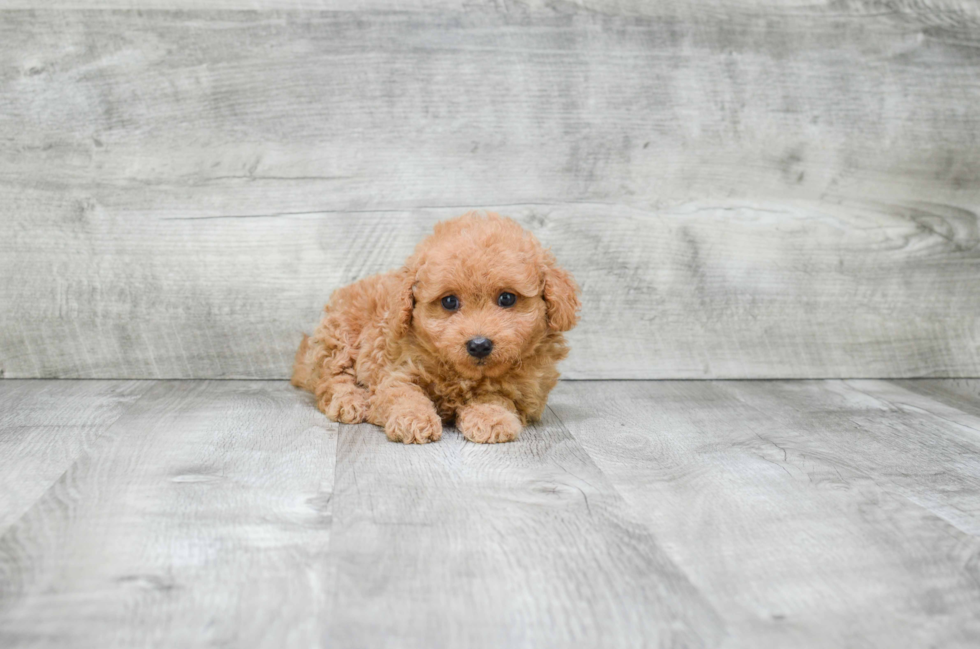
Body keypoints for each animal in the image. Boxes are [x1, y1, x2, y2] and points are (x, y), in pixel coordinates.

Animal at [294, 210, 580, 442]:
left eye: (507, 298)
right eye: (449, 301)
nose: (479, 345)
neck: (460, 373)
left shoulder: (523, 392)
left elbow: (496, 398)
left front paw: (490, 418)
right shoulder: (396, 371)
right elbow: (403, 394)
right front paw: (413, 419)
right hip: (339, 336)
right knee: (332, 378)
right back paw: (349, 401)